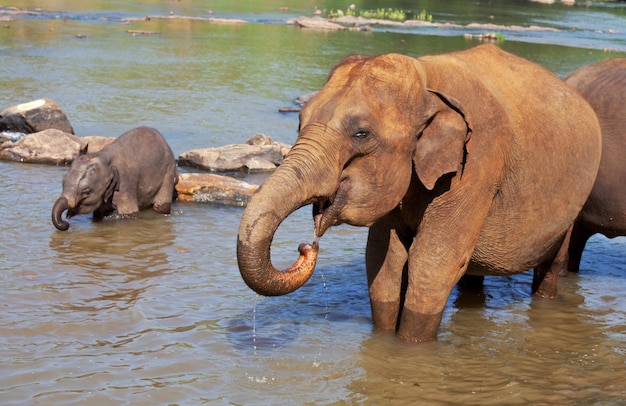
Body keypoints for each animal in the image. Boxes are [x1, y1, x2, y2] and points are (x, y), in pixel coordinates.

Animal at [236, 45, 604, 342]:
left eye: (361, 133)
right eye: (300, 121)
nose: (306, 246)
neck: (426, 79)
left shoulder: (479, 164)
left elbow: (433, 263)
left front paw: (411, 346)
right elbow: (383, 258)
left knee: (552, 265)